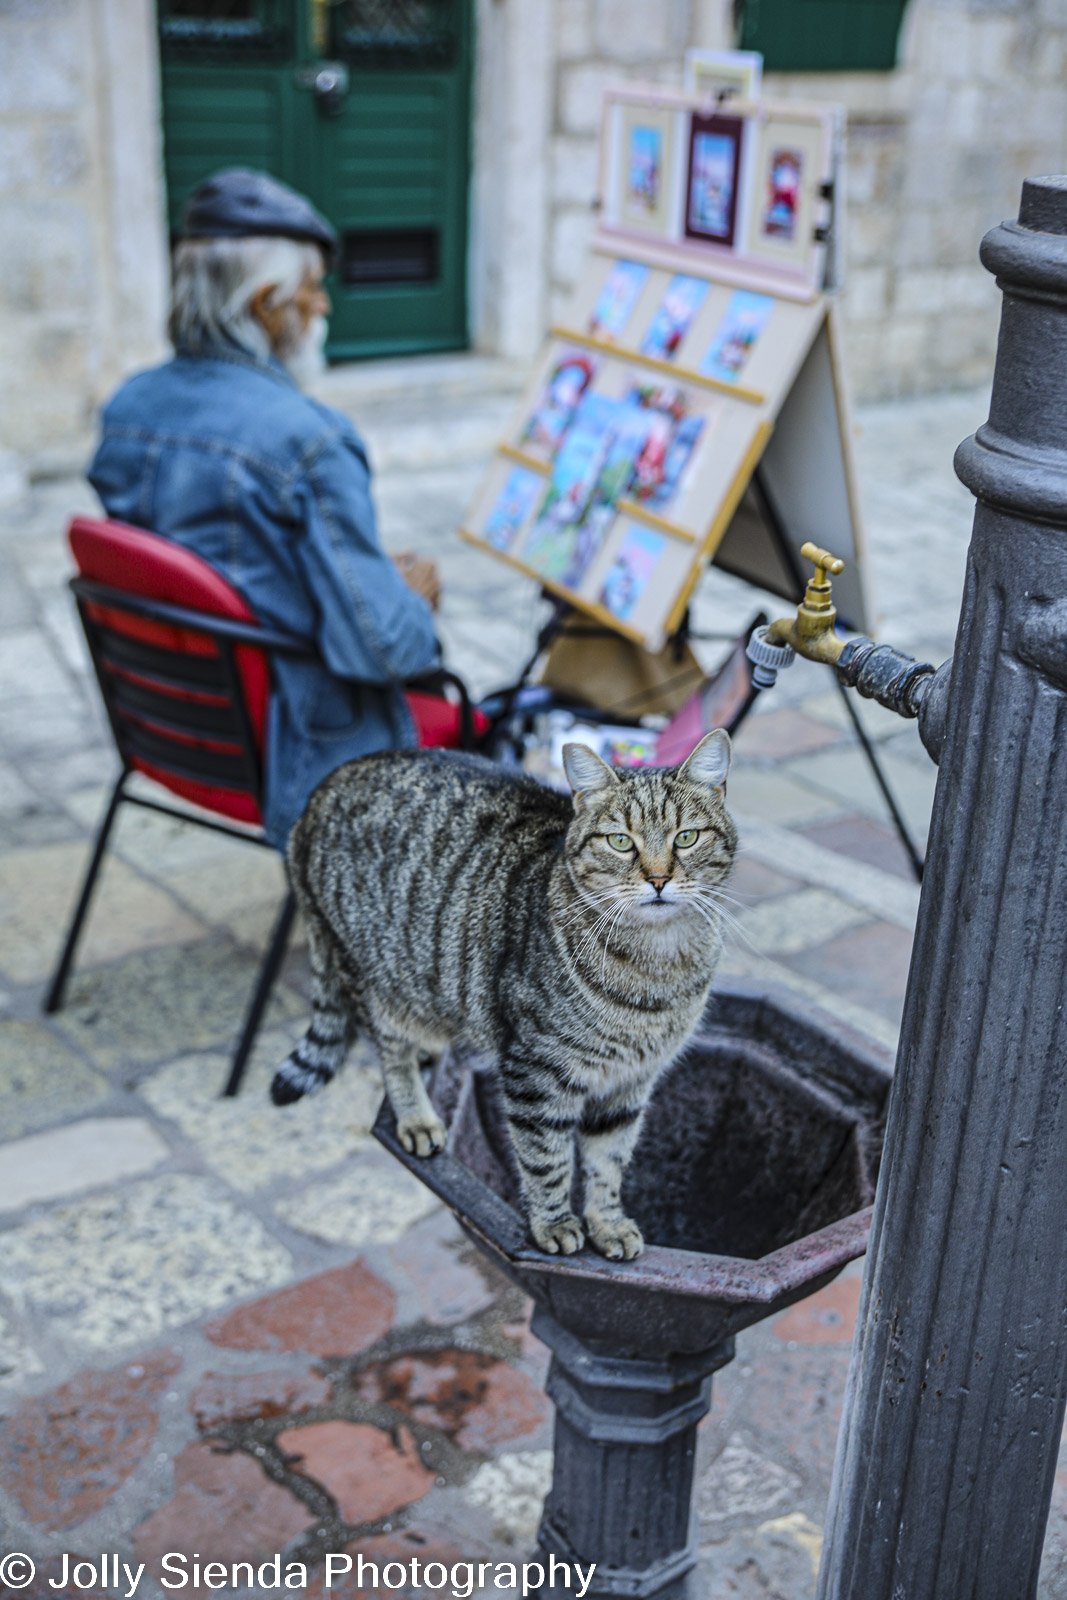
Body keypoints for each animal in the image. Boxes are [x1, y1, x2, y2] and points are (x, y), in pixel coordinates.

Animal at [271, 732, 739, 1254]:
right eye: (621, 842)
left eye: (686, 837)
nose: (658, 879)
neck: (657, 967)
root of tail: (321, 788)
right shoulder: (535, 1072)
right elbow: (547, 1159)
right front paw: (554, 1224)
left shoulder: (629, 1084)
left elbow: (609, 1162)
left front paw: (608, 1223)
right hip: (375, 983)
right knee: (391, 1054)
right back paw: (417, 1117)